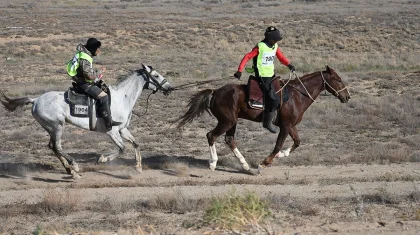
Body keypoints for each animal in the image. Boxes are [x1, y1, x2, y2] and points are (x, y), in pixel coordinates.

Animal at [0, 63, 172, 178]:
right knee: (57, 147)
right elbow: (122, 148)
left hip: (51, 128)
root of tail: (35, 100)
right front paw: (102, 158)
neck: (122, 98)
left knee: (53, 147)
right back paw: (75, 167)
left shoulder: (123, 129)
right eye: (156, 75)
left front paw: (138, 167)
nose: (169, 88)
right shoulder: (112, 131)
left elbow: (136, 144)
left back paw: (70, 171)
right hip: (57, 126)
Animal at [176, 66, 350, 173]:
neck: (297, 95)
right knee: (211, 135)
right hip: (227, 121)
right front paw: (263, 164)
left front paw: (280, 156)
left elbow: (297, 142)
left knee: (229, 139)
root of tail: (215, 92)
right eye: (338, 79)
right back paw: (213, 163)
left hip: (232, 122)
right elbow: (278, 145)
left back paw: (245, 165)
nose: (347, 96)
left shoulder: (291, 125)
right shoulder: (285, 126)